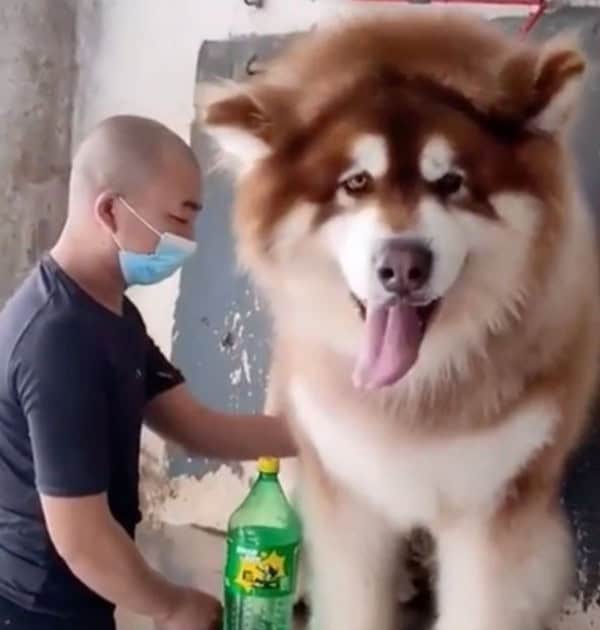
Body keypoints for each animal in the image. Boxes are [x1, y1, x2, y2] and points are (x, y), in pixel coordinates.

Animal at [201, 11, 600, 630]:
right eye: (356, 183)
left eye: (451, 182)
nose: (404, 265)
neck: (416, 391)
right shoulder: (347, 491)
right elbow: (353, 600)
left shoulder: (493, 503)